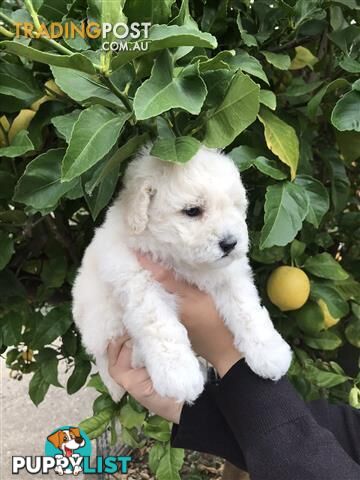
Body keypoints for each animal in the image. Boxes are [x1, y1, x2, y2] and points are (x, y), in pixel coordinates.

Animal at [72, 145, 292, 402]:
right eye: (192, 211)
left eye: (235, 206)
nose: (230, 243)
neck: (187, 262)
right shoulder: (138, 280)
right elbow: (161, 325)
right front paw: (178, 375)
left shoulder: (230, 275)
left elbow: (246, 308)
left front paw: (270, 353)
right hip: (102, 323)